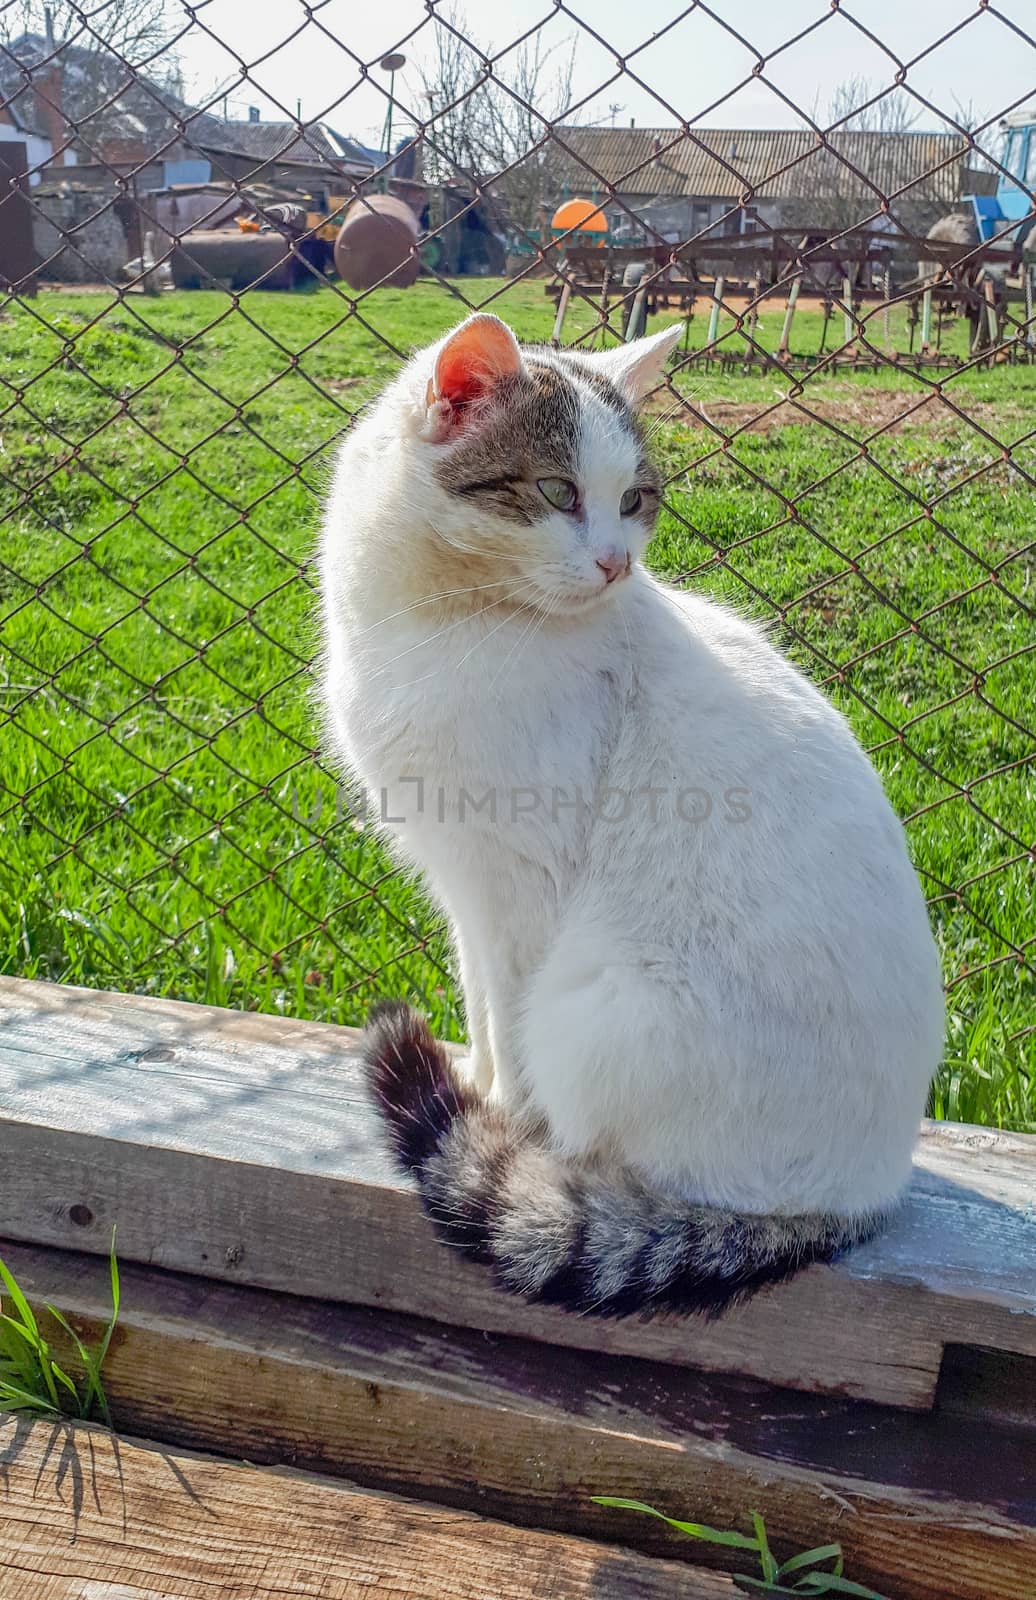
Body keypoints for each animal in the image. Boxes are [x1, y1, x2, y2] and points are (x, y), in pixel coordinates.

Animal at [319, 308, 940, 1312]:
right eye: (556, 491)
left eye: (636, 499)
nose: (616, 564)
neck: (437, 626)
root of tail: (861, 1204)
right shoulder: (467, 888)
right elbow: (480, 1008)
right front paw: (475, 1086)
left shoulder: (523, 886)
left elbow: (510, 1028)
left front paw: (504, 1126)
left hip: (603, 1004)